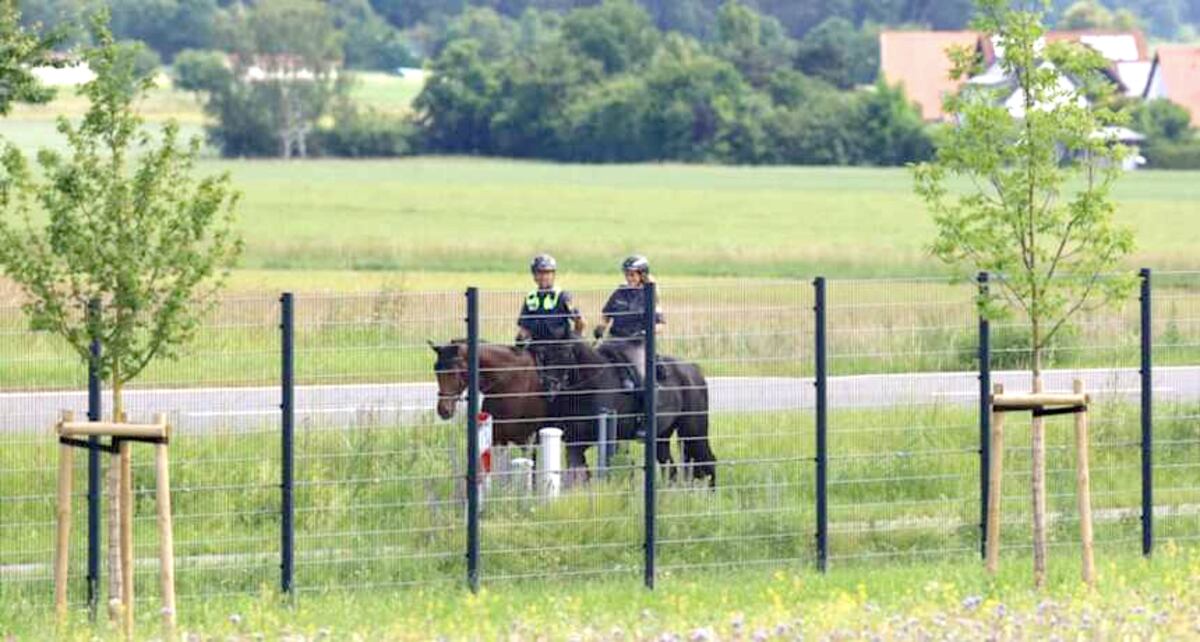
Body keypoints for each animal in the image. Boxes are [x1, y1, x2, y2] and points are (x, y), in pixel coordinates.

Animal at [429, 338, 715, 484]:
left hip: (693, 432)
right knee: (671, 468)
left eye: (454, 370)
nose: (443, 409)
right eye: (436, 370)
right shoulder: (500, 438)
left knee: (708, 461)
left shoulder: (544, 440)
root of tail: (693, 370)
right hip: (661, 438)